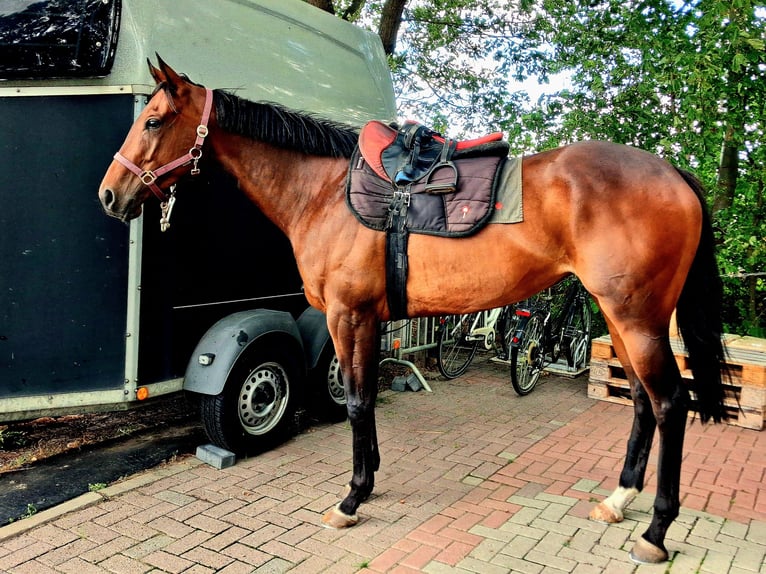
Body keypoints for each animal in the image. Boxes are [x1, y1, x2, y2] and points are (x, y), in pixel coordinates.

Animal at [98, 57, 728, 564]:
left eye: (153, 119)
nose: (109, 195)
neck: (323, 193)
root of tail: (672, 173)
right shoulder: (369, 319)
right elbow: (367, 398)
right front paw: (370, 480)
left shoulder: (348, 315)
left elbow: (356, 402)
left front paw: (351, 498)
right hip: (620, 318)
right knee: (643, 401)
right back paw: (618, 499)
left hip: (638, 319)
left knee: (670, 403)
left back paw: (655, 532)